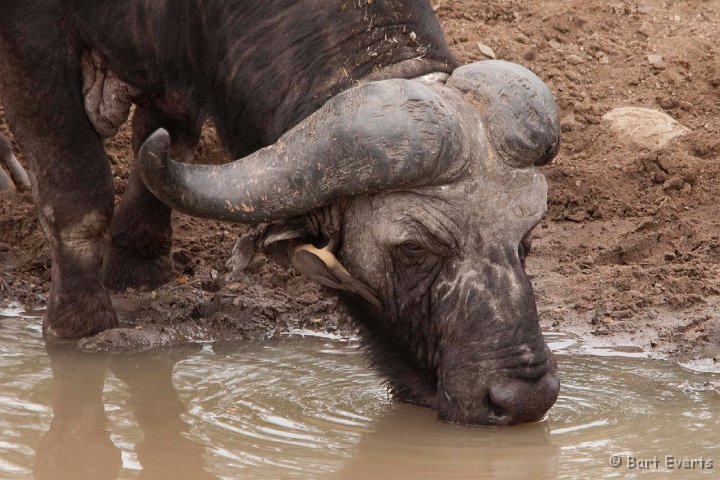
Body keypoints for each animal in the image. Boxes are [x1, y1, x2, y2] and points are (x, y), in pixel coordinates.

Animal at [0, 1, 564, 426]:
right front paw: (81, 326)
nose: (524, 397)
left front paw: (138, 269)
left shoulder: (179, 75)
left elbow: (159, 149)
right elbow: (79, 193)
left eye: (526, 241)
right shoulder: (33, 41)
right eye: (413, 247)